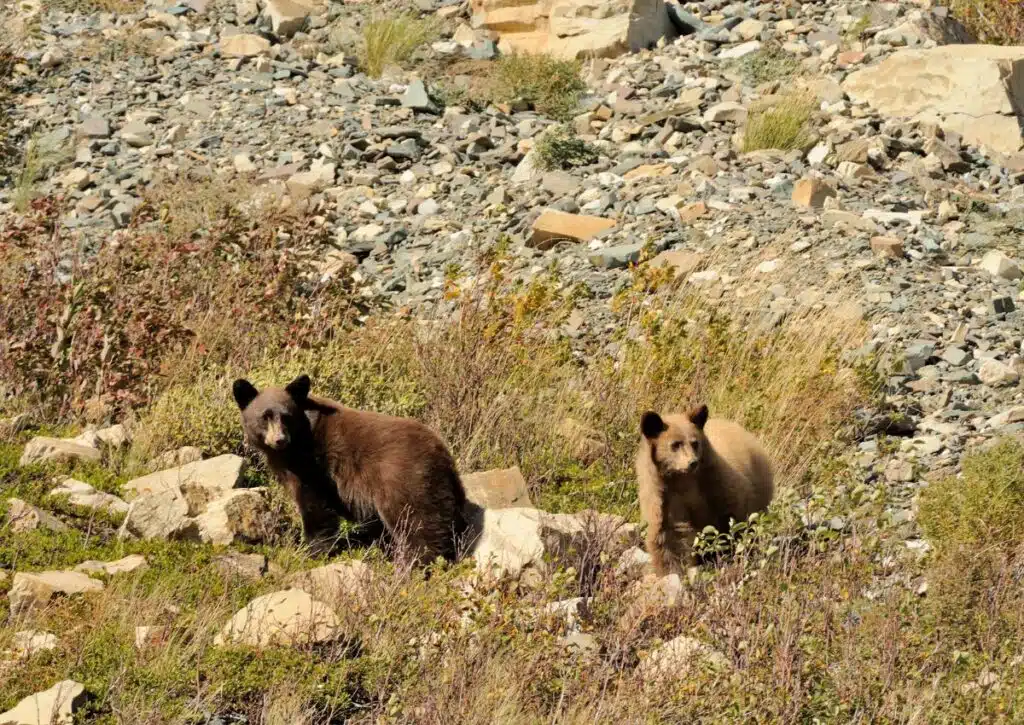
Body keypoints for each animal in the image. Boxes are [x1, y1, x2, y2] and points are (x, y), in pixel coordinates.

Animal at [232, 374, 468, 565]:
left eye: (287, 416)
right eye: (265, 417)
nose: (280, 440)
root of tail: (442, 452)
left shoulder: (315, 466)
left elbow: (315, 506)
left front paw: (311, 550)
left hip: (404, 477)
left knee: (416, 523)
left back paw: (411, 566)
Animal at [634, 405, 770, 573]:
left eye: (695, 443)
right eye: (675, 444)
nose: (692, 462)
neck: (681, 480)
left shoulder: (715, 484)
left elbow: (734, 520)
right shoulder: (663, 499)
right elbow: (668, 539)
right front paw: (671, 570)